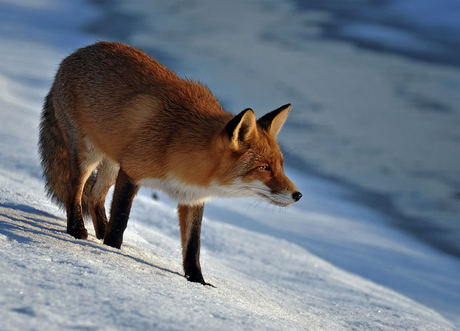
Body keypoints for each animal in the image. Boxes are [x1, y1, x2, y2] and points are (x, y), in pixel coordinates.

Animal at [39, 41, 302, 286]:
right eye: (264, 168)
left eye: (281, 165)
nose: (298, 195)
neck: (178, 145)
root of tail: (77, 52)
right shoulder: (132, 172)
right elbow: (121, 220)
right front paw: (112, 251)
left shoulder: (193, 198)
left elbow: (193, 247)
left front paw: (198, 282)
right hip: (88, 155)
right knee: (75, 188)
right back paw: (77, 229)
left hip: (111, 164)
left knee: (94, 197)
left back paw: (99, 233)